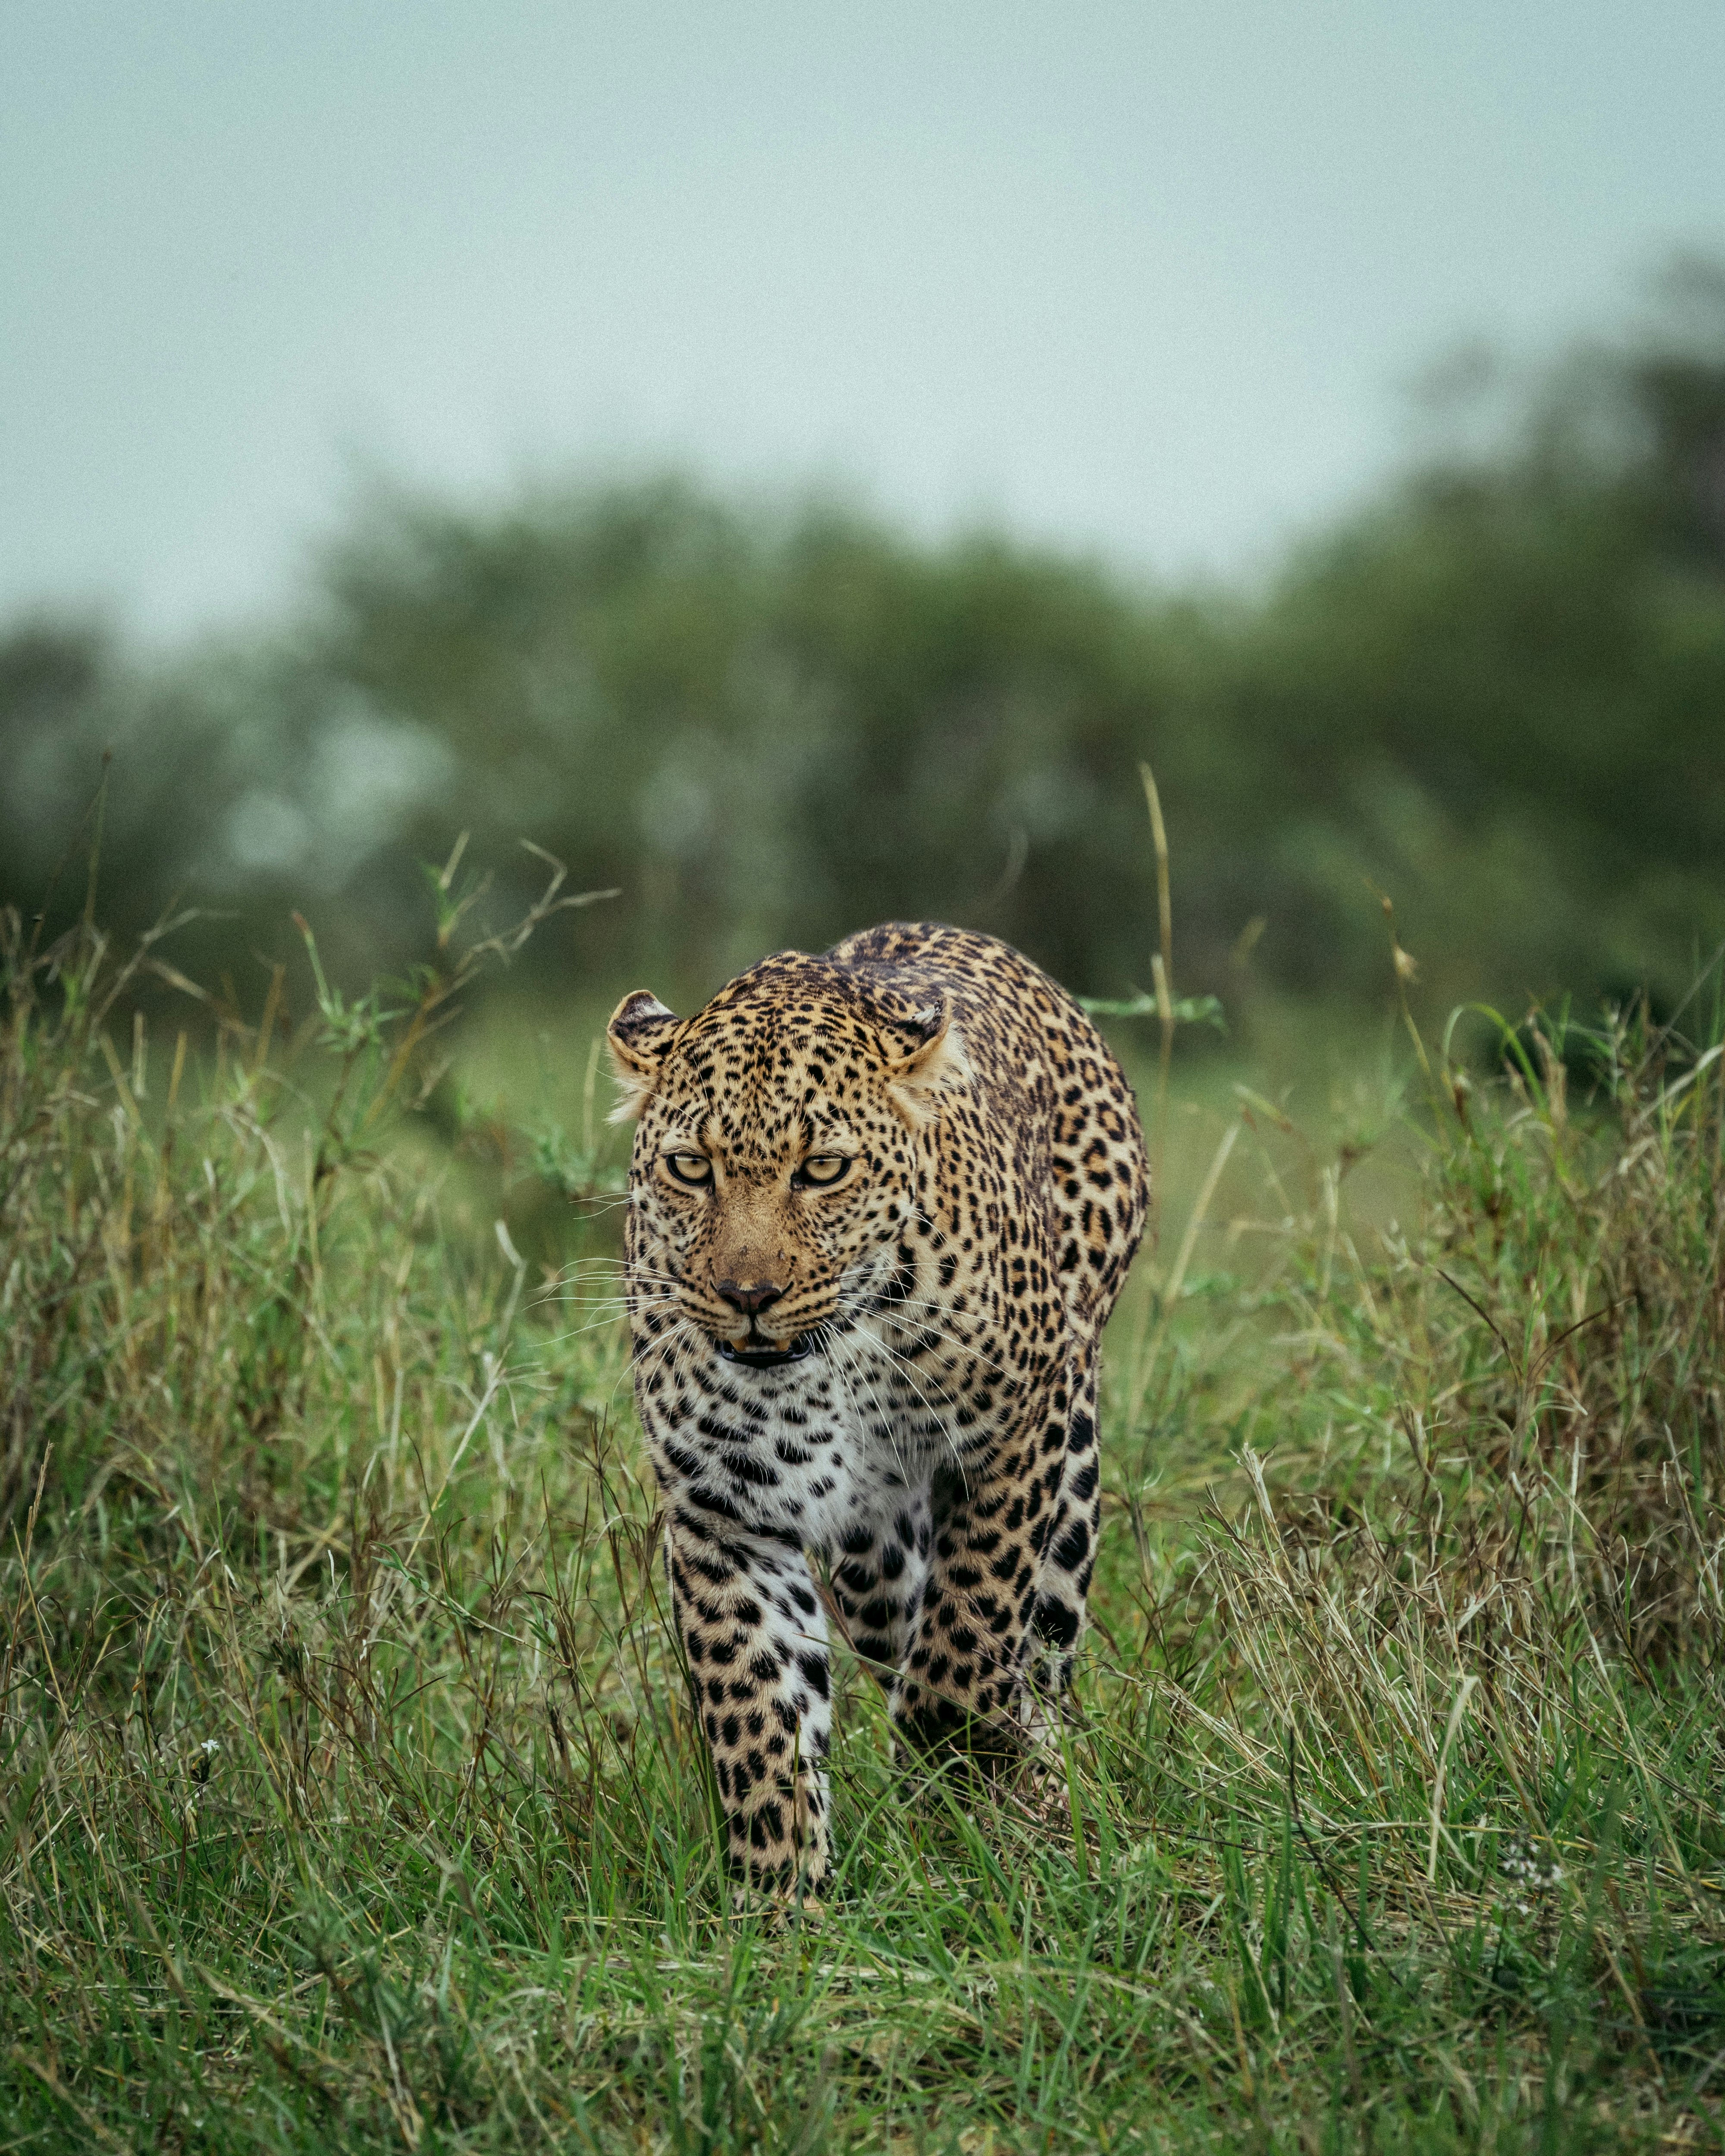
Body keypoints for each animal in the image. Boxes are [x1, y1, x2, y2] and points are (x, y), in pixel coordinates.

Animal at [608, 918, 1147, 1897]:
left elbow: (970, 1632)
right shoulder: (722, 1512)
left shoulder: (1013, 1438)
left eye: (822, 1169)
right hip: (871, 1549)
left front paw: (970, 1750)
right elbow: (759, 1722)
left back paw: (1040, 1797)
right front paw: (782, 1906)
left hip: (1073, 1447)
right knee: (900, 1623)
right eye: (690, 1169)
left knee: (1040, 1652)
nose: (748, 1295)